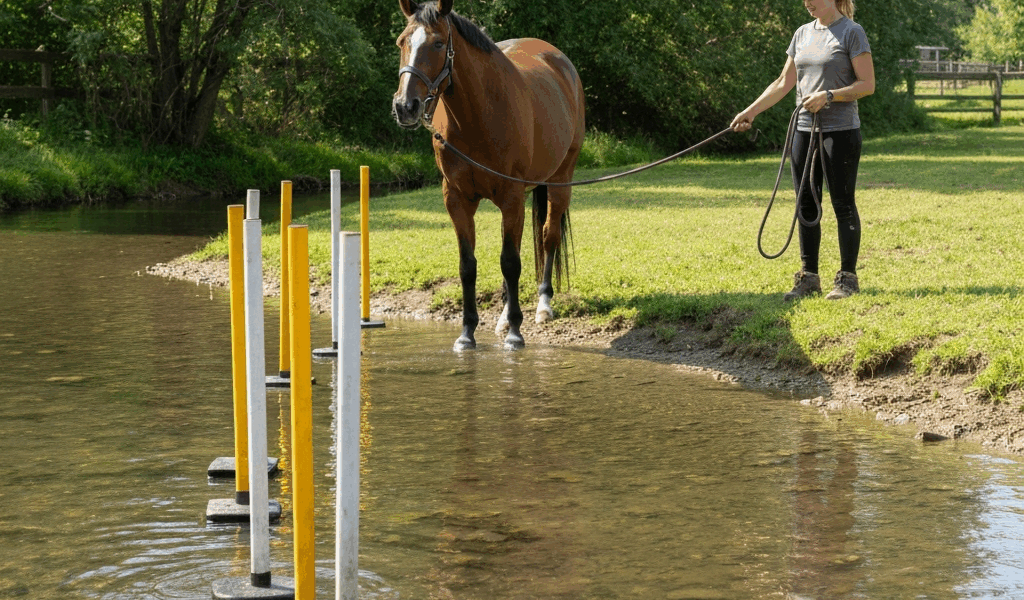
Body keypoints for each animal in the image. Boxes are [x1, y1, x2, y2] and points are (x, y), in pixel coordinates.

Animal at [392, 0, 585, 351]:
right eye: (402, 42)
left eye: (438, 43)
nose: (405, 106)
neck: (477, 117)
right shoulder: (457, 199)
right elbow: (468, 266)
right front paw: (467, 333)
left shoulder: (511, 198)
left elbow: (510, 262)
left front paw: (515, 334)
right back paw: (504, 315)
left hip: (560, 181)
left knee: (548, 236)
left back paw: (543, 305)